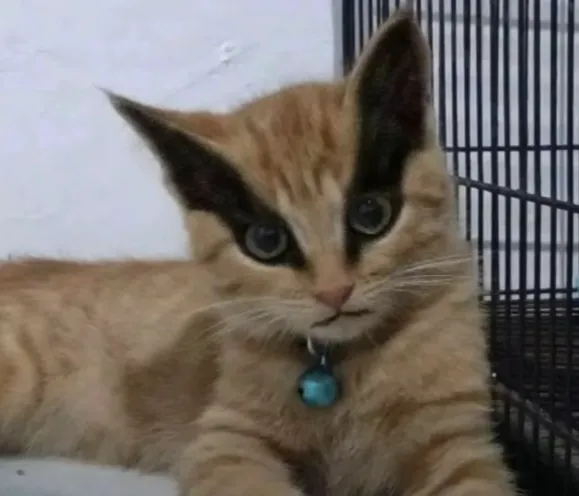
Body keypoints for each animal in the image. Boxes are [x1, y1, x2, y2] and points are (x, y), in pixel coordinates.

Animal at [0, 5, 515, 496]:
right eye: (267, 242)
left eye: (371, 214)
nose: (334, 292)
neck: (341, 364)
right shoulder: (225, 438)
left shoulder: (458, 438)